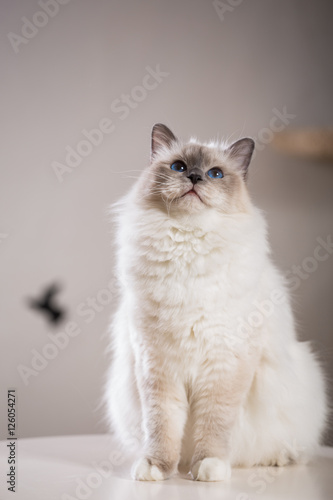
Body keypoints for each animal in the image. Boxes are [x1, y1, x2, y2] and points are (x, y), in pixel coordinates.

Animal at [104, 124, 326, 480]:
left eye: (215, 174)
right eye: (178, 167)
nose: (195, 177)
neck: (187, 248)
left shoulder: (224, 365)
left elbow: (213, 425)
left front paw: (207, 469)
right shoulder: (158, 365)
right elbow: (162, 426)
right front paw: (157, 469)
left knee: (293, 449)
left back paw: (277, 460)